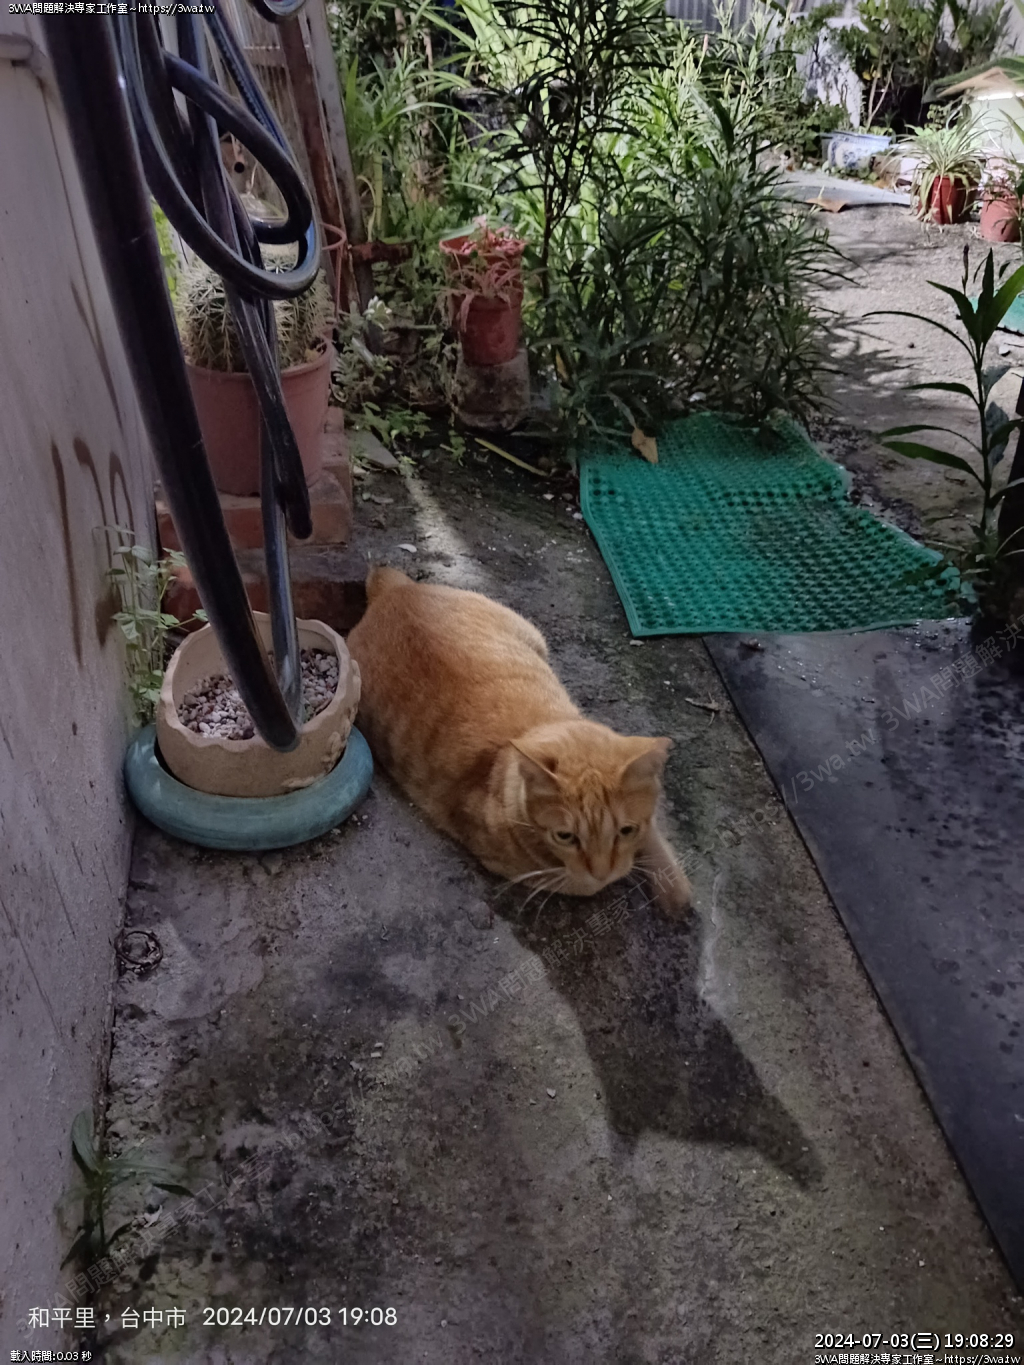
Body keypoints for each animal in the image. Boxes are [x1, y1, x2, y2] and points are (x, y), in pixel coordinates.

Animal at [345, 567, 692, 914]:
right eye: (565, 836)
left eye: (626, 830)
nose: (602, 871)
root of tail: (394, 590)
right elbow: (577, 882)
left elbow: (655, 839)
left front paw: (672, 887)